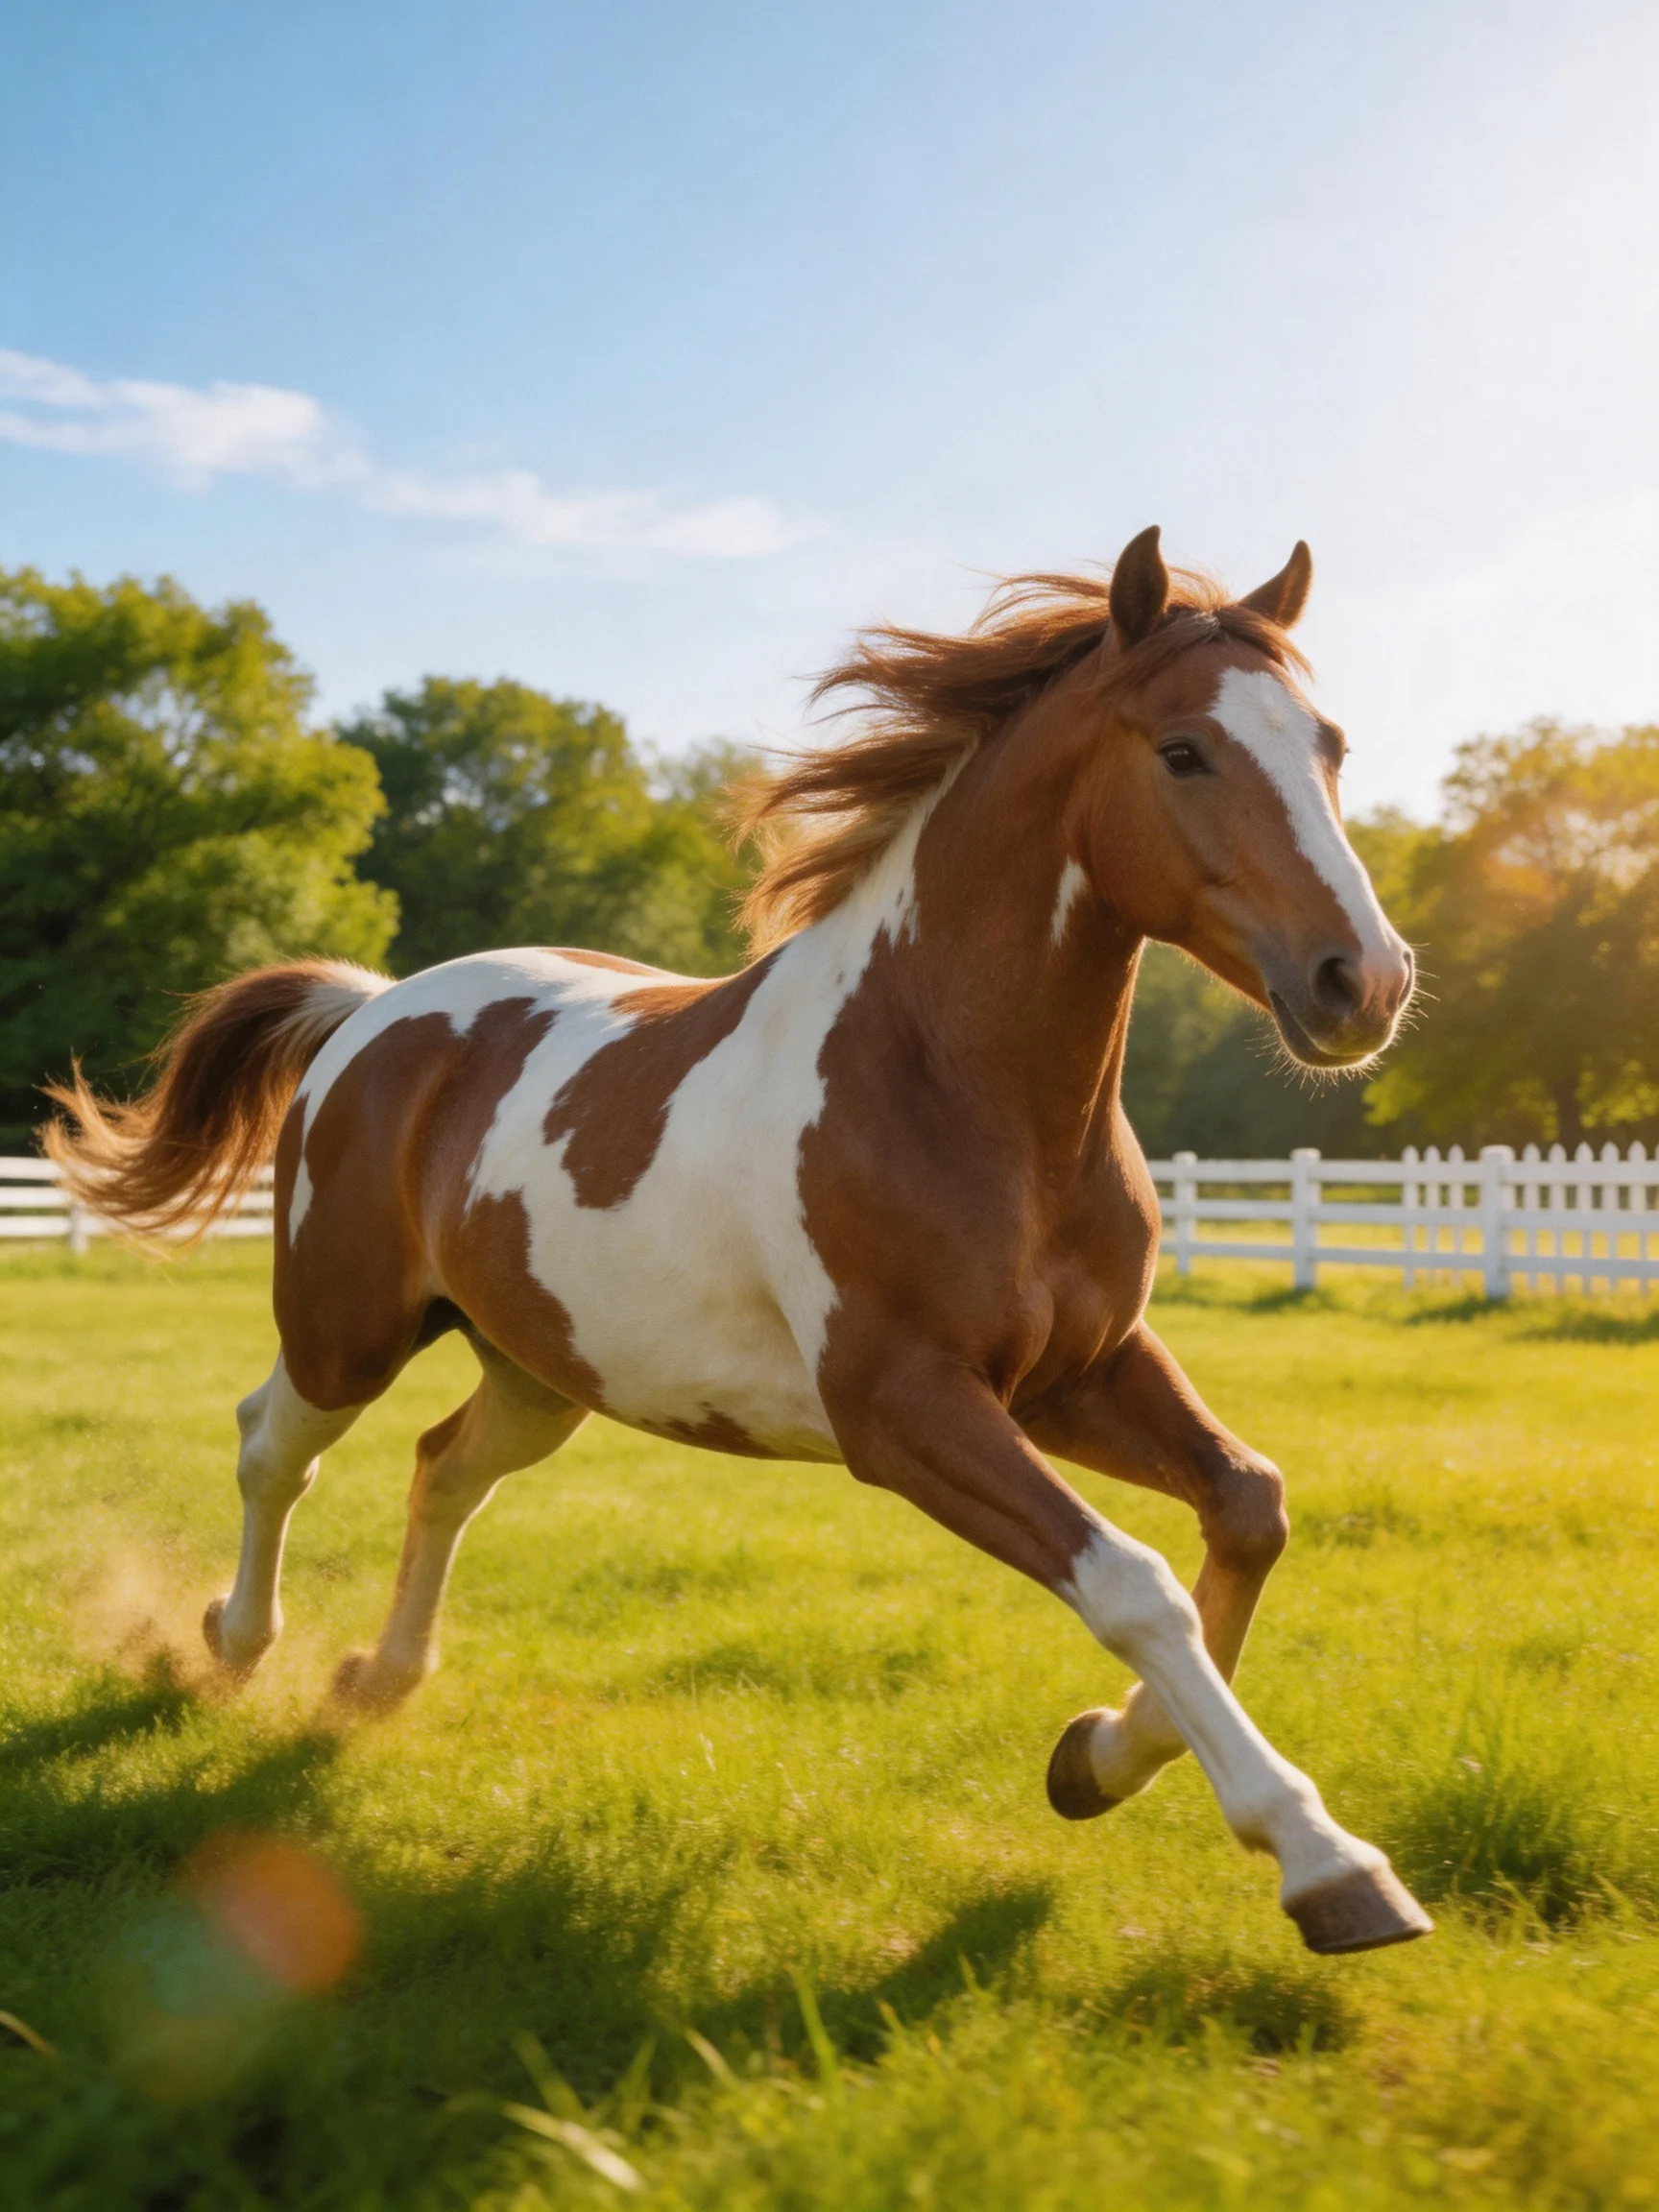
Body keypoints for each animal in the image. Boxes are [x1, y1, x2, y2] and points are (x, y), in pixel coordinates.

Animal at [50, 525, 1429, 1955]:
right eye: (1184, 751)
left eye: (1329, 743)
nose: (1364, 981)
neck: (950, 1083)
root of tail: (372, 1011)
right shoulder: (906, 1410)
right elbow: (1135, 1584)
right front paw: (1326, 1863)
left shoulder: (1083, 1372)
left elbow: (1248, 1507)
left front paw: (1098, 1758)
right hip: (347, 1327)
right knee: (274, 1444)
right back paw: (234, 1643)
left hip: (537, 1369)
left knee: (444, 1470)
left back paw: (378, 1678)